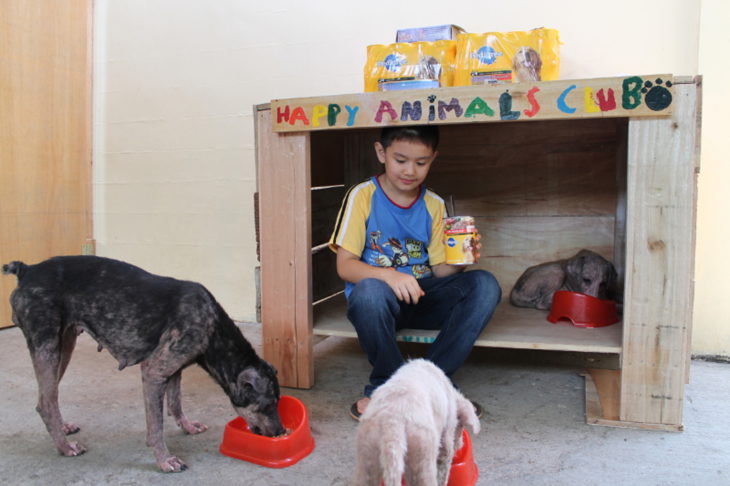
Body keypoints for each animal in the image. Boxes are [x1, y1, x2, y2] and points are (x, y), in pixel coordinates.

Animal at [2, 256, 282, 472]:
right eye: (267, 406)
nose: (281, 433)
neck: (213, 328)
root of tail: (27, 269)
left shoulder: (174, 369)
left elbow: (175, 403)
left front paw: (187, 427)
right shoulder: (153, 372)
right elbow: (156, 427)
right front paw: (165, 460)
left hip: (64, 345)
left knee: (48, 396)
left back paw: (63, 428)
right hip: (46, 346)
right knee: (46, 403)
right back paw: (64, 447)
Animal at [352, 356, 478, 486]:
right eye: (461, 426)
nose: (460, 445)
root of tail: (392, 423)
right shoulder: (446, 439)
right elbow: (443, 471)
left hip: (367, 454)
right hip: (422, 457)